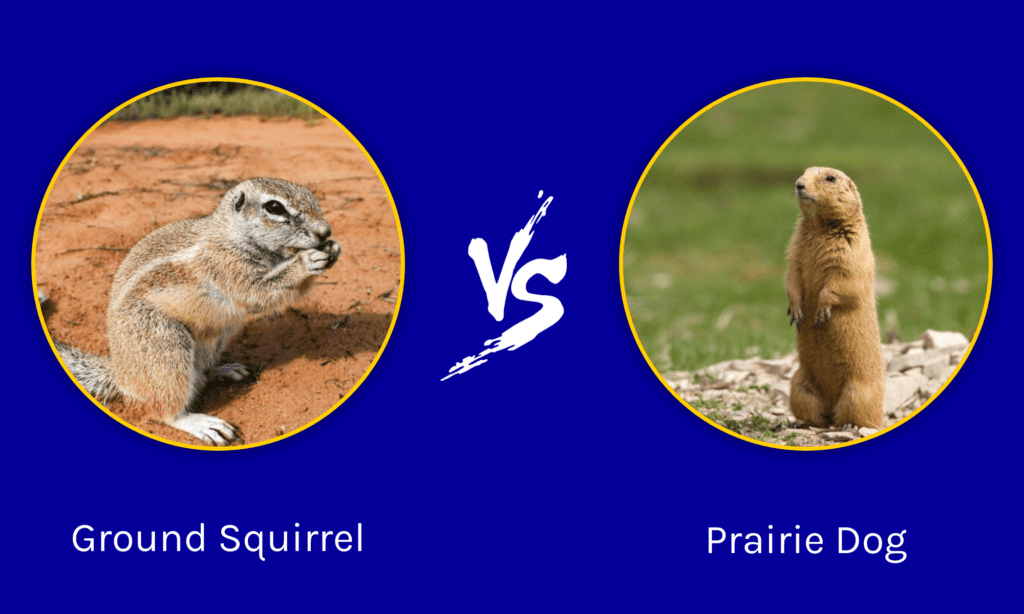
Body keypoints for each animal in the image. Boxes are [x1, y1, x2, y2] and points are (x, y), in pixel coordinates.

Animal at [53, 177, 341, 445]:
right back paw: (199, 423)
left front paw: (333, 249)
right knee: (165, 409)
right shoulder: (226, 265)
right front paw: (307, 261)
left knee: (198, 374)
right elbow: (260, 292)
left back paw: (224, 370)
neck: (231, 233)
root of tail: (120, 372)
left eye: (310, 194)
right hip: (165, 344)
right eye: (274, 207)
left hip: (217, 336)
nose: (325, 231)